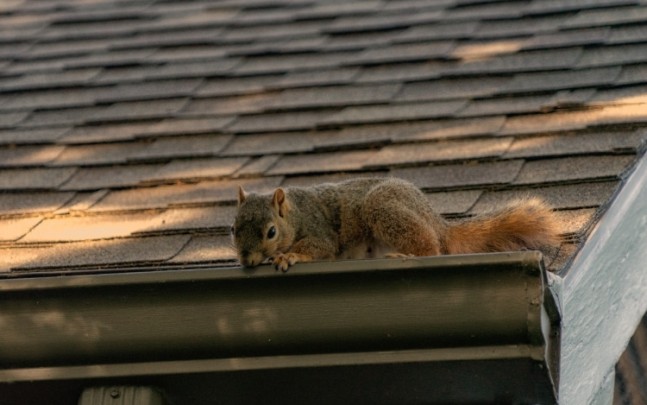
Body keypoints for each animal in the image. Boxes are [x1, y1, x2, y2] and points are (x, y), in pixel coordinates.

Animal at [232, 177, 561, 271]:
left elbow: (319, 247)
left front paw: (288, 255)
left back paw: (407, 254)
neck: (295, 213)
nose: (246, 261)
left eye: (271, 232)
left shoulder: (318, 230)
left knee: (431, 249)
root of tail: (438, 223)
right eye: (233, 229)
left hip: (384, 208)